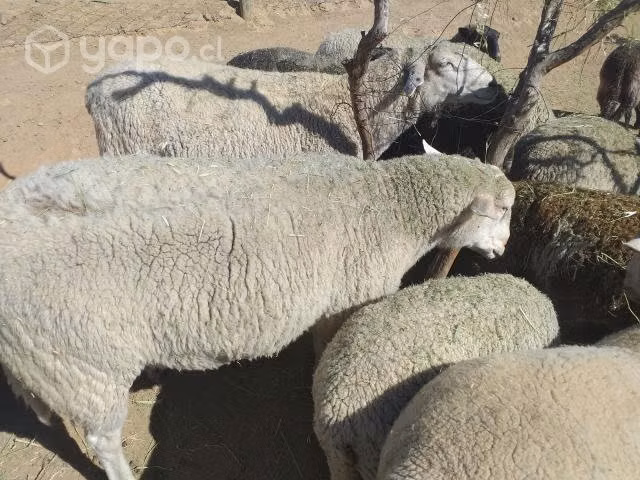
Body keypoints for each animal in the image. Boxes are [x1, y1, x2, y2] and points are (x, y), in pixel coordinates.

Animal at [0, 152, 515, 480]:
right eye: (502, 211)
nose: (505, 248)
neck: (390, 206)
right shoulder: (352, 294)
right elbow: (332, 347)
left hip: (57, 362)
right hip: (88, 363)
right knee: (102, 440)